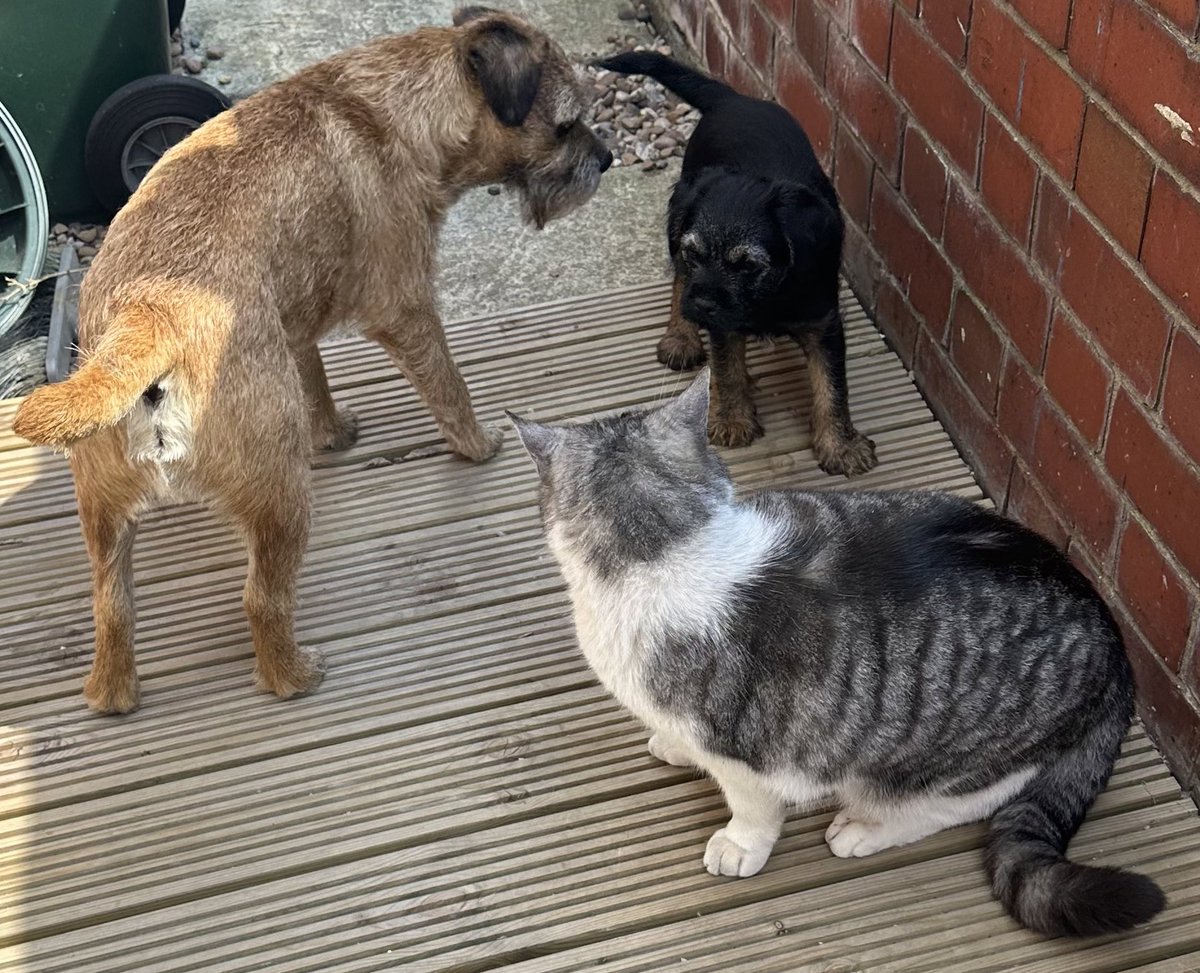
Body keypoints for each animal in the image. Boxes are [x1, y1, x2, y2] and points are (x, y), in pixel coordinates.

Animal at [9, 3, 609, 710]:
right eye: (565, 125)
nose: (606, 156)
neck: (386, 109)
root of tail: (151, 312)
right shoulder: (406, 304)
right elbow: (448, 384)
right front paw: (478, 443)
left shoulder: (293, 327)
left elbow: (315, 378)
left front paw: (333, 430)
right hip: (281, 494)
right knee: (262, 601)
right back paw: (292, 677)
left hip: (103, 513)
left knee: (113, 607)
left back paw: (113, 693)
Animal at [506, 371, 1161, 935]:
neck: (663, 544)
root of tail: (1119, 652)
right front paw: (671, 742)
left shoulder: (749, 755)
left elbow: (753, 807)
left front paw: (740, 844)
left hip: (937, 761)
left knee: (966, 800)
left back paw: (867, 829)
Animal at [597, 51, 873, 477]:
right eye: (696, 254)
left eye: (747, 265)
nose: (701, 306)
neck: (772, 294)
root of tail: (732, 99)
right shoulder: (720, 317)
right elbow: (727, 367)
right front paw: (732, 418)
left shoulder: (823, 322)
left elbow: (831, 385)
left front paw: (840, 446)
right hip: (678, 219)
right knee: (679, 280)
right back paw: (681, 336)